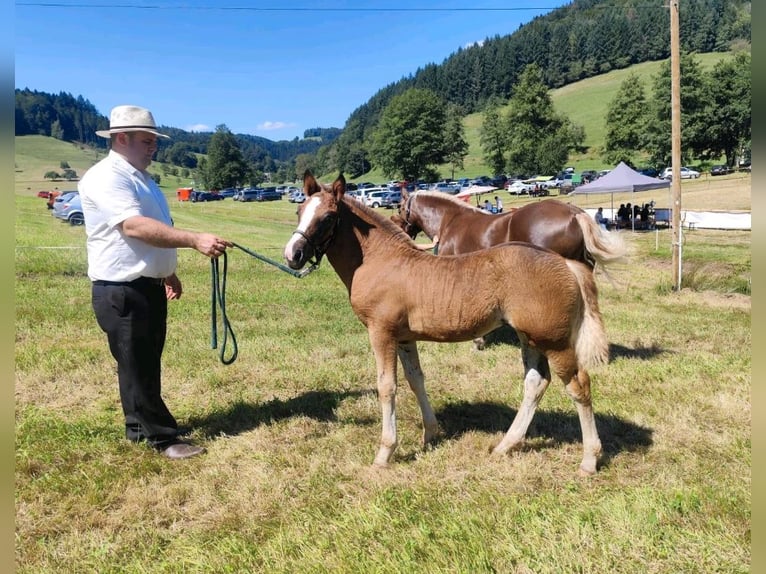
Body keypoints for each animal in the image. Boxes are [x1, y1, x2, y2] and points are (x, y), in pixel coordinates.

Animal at [284, 171, 609, 476]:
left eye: (328, 217)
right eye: (299, 211)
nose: (292, 255)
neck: (380, 260)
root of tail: (565, 264)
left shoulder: (381, 332)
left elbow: (387, 386)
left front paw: (385, 453)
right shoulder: (405, 337)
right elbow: (416, 380)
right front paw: (431, 435)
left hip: (554, 341)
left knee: (579, 385)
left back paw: (589, 460)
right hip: (529, 337)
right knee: (536, 382)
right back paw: (505, 445)